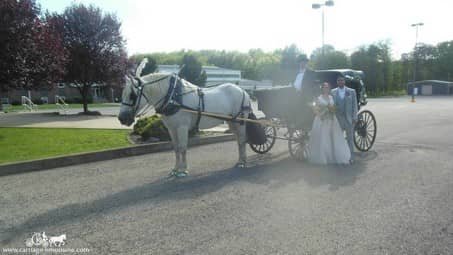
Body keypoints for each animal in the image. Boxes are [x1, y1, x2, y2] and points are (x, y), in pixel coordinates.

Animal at [117, 59, 251, 177]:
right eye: (122, 93)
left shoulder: (182, 127)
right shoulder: (171, 129)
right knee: (238, 140)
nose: (122, 118)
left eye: (132, 95)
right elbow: (176, 148)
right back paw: (240, 160)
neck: (173, 96)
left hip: (240, 122)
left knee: (242, 140)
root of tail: (243, 91)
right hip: (232, 122)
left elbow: (182, 148)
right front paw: (175, 170)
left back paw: (242, 162)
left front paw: (182, 171)